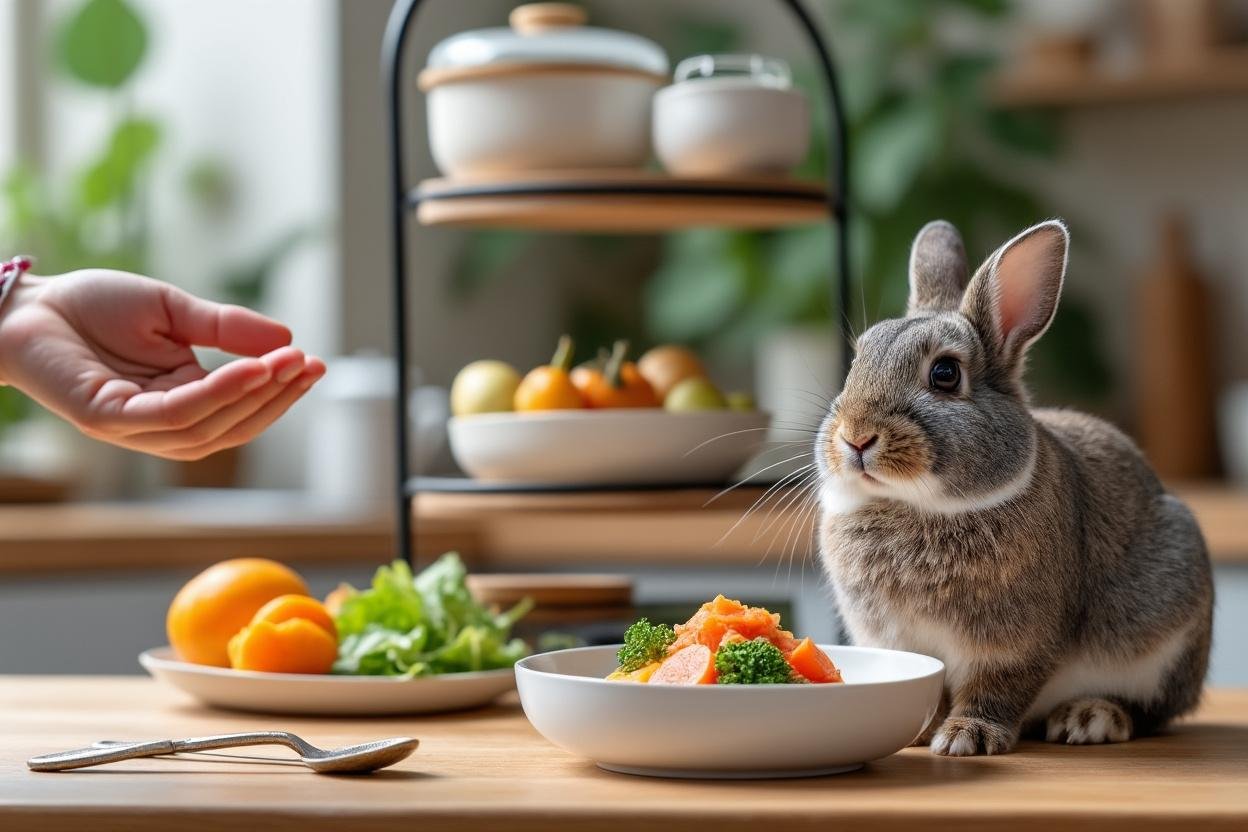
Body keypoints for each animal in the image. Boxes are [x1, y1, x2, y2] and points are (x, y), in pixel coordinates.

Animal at [815, 219, 1213, 756]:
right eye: (857, 361)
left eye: (945, 374)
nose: (855, 436)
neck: (916, 504)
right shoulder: (901, 641)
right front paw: (921, 730)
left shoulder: (1014, 646)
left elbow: (996, 688)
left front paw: (965, 738)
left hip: (1168, 635)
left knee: (1151, 711)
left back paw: (1089, 718)